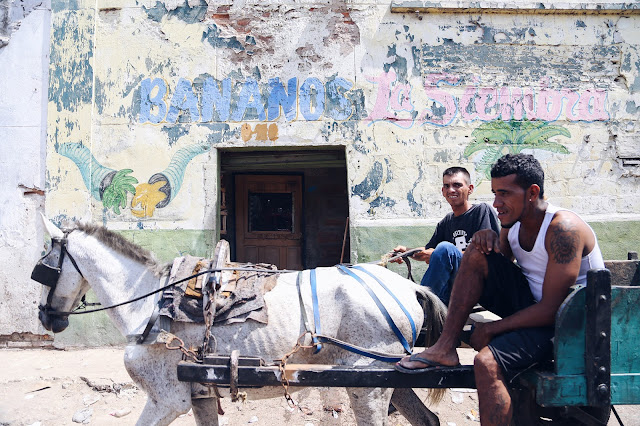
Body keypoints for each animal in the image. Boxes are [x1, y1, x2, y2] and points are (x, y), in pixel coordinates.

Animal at [35, 216, 444, 426]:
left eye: (43, 267)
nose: (44, 317)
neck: (150, 305)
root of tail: (409, 287)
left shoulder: (168, 398)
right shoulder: (200, 396)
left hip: (366, 385)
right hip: (385, 375)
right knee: (428, 420)